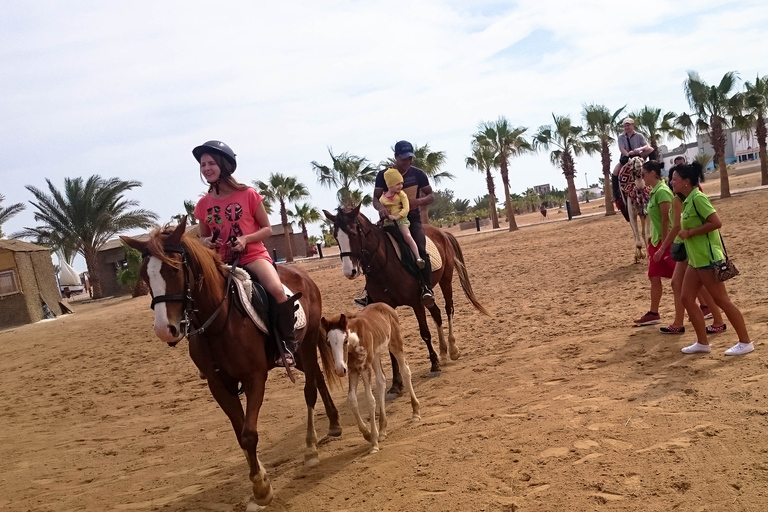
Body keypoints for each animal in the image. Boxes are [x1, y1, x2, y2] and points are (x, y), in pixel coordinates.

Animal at [121, 218, 340, 510]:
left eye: (173, 269)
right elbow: (240, 433)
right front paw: (259, 479)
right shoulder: (219, 385)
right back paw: (334, 423)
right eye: (145, 276)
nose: (164, 330)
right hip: (296, 358)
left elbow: (249, 433)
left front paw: (261, 489)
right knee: (317, 376)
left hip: (305, 345)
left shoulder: (254, 377)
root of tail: (303, 276)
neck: (218, 321)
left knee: (310, 389)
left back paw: (311, 447)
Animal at [322, 205, 488, 396]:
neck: (384, 264)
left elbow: (425, 333)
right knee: (437, 313)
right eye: (336, 236)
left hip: (446, 280)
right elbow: (389, 346)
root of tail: (442, 232)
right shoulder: (384, 306)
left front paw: (434, 366)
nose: (350, 271)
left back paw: (452, 350)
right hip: (430, 298)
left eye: (353, 233)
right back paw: (443, 352)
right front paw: (396, 384)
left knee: (448, 309)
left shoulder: (416, 303)